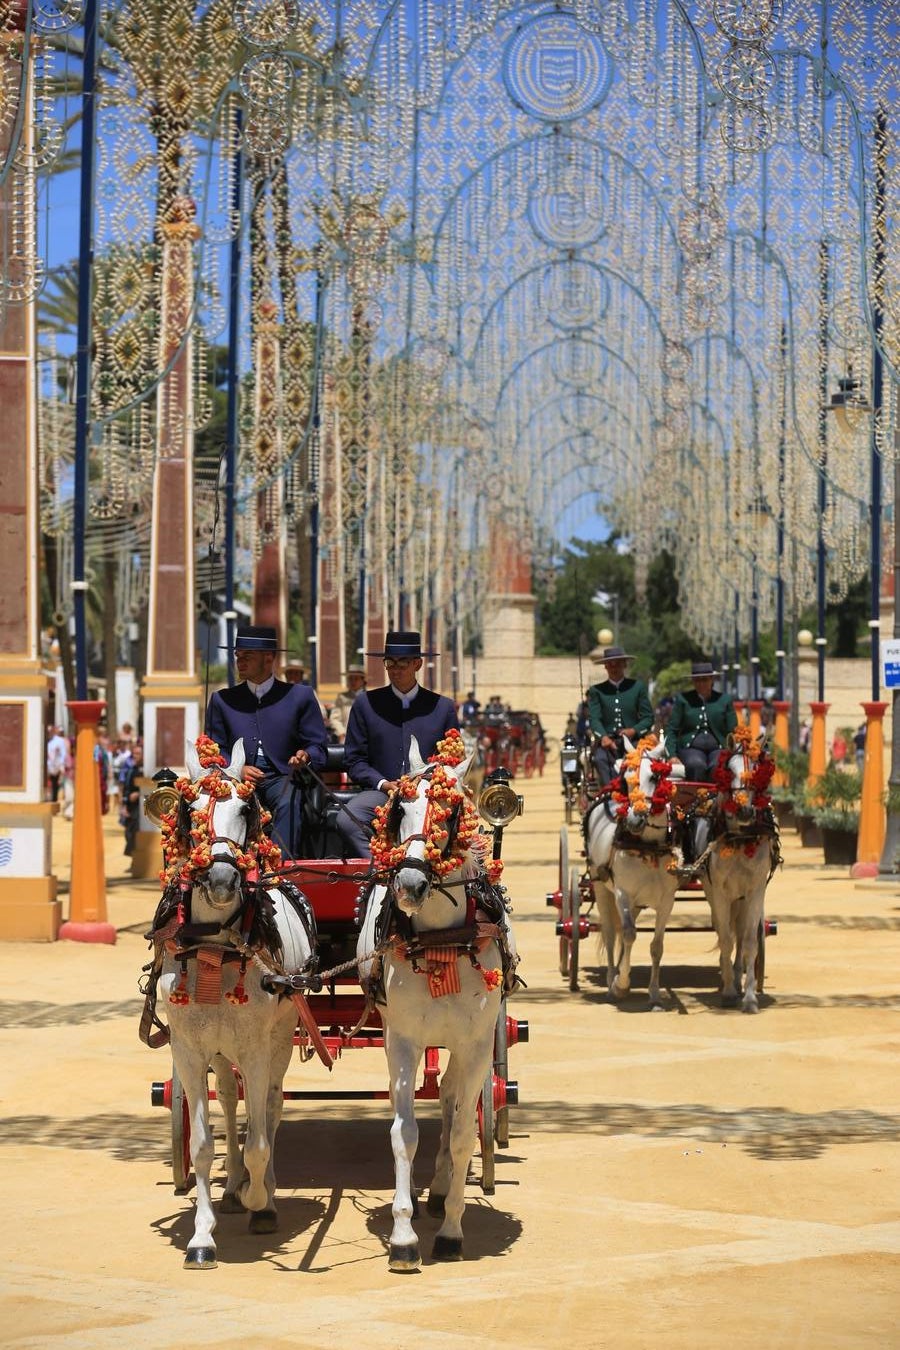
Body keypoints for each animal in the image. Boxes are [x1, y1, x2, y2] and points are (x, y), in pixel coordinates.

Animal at [155, 739, 319, 1263]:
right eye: (189, 810)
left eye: (246, 809)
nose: (223, 879)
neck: (216, 945)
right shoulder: (187, 1048)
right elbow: (204, 1145)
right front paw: (202, 1236)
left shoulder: (255, 1046)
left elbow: (259, 1140)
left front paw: (259, 1200)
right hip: (220, 1050)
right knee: (230, 1097)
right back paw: (230, 1191)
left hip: (278, 1038)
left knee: (270, 1104)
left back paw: (261, 1191)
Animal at [356, 734, 518, 1269]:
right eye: (398, 809)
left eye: (449, 813)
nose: (409, 884)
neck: (439, 939)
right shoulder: (403, 1038)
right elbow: (404, 1133)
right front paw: (403, 1237)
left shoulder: (475, 1042)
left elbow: (466, 1130)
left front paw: (451, 1230)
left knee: (451, 1100)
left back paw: (445, 1188)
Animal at [585, 734, 682, 1009]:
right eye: (625, 778)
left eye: (655, 777)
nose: (634, 819)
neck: (647, 846)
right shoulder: (623, 894)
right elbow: (628, 935)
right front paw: (622, 984)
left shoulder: (667, 901)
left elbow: (656, 946)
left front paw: (655, 993)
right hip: (601, 888)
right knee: (610, 933)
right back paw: (612, 980)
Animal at [701, 729, 777, 1015]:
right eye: (730, 770)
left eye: (756, 770)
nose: (744, 810)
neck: (741, 838)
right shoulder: (720, 893)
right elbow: (725, 939)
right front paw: (729, 992)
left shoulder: (755, 891)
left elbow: (749, 942)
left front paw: (750, 997)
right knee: (726, 931)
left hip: (742, 899)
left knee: (741, 933)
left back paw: (736, 975)